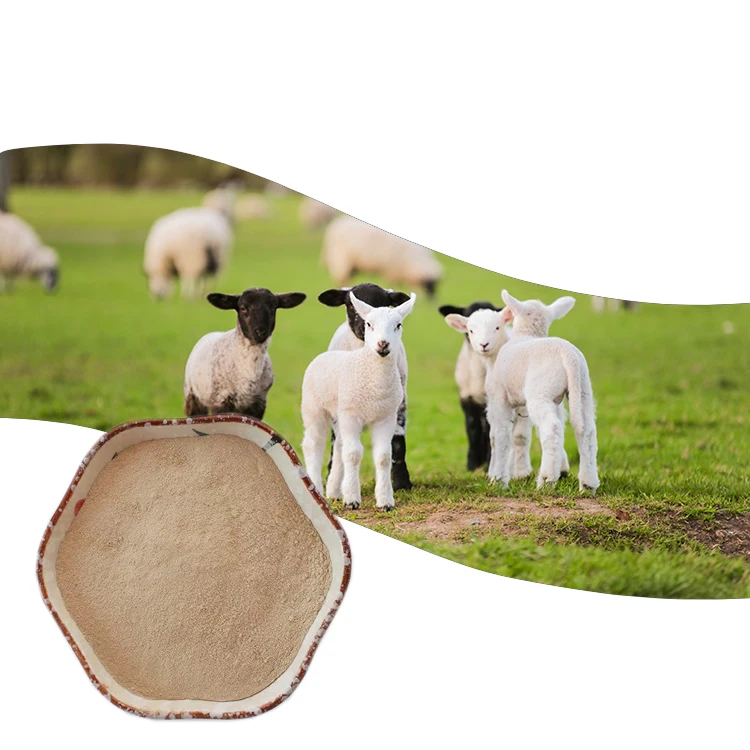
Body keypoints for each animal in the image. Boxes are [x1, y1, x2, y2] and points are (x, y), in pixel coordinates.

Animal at [184, 287, 306, 419]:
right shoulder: (221, 401)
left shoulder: (258, 403)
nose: (260, 332)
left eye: (273, 308)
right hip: (192, 397)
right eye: (243, 308)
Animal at [301, 291, 417, 510]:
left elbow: (383, 457)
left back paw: (334, 491)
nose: (383, 344)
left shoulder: (385, 417)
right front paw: (352, 499)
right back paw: (318, 489)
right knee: (314, 445)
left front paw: (385, 501)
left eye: (398, 325)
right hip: (314, 408)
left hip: (339, 415)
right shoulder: (351, 415)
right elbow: (354, 454)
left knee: (339, 446)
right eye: (369, 324)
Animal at [439, 301, 505, 471]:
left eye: (496, 326)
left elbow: (488, 430)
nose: (483, 344)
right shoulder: (466, 398)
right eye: (470, 329)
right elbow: (472, 427)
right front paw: (473, 464)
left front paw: (488, 462)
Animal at [482, 290, 599, 492]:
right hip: (583, 390)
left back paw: (546, 480)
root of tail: (568, 356)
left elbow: (501, 435)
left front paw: (498, 479)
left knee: (552, 429)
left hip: (541, 392)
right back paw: (588, 484)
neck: (527, 335)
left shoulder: (501, 397)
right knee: (587, 431)